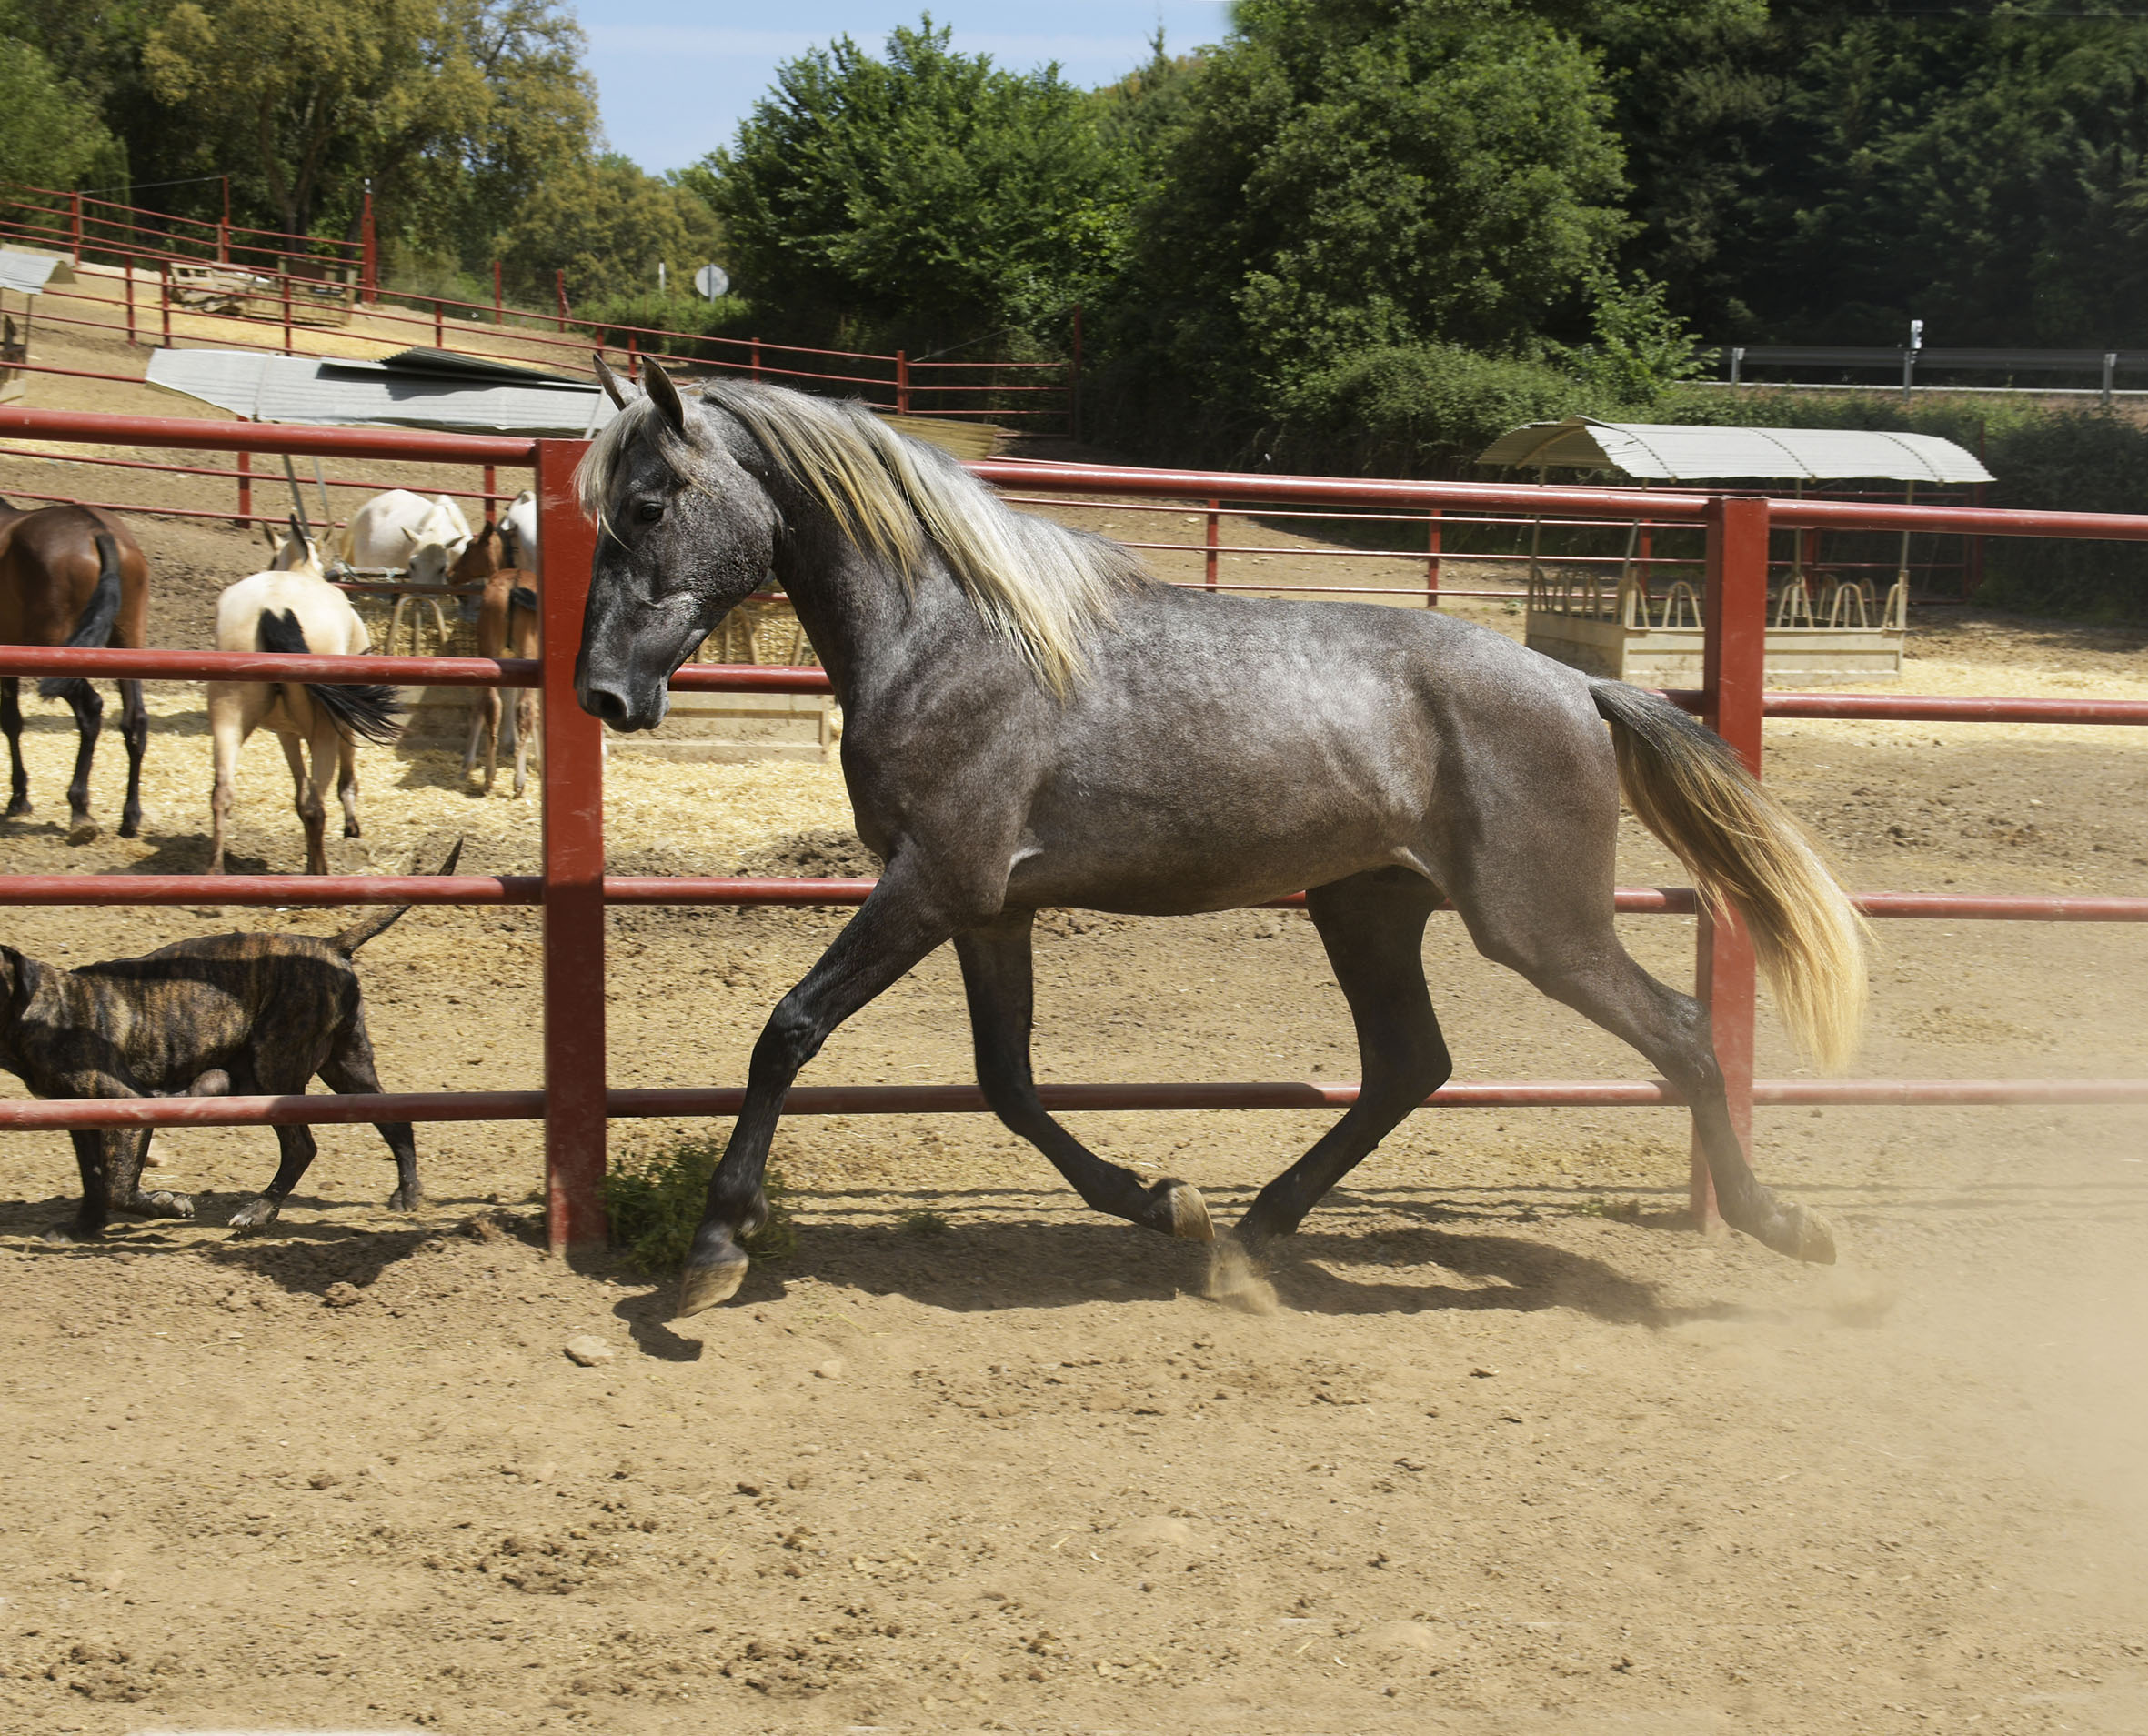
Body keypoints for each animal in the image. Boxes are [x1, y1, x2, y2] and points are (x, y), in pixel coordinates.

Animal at [0, 498, 151, 842]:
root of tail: (98, 529)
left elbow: (10, 722)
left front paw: (18, 798)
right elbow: (13, 723)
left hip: (55, 652)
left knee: (91, 709)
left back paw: (80, 809)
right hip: (127, 644)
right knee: (135, 720)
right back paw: (130, 816)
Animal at [2, 838, 457, 1237]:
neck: (44, 1007)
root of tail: (329, 944)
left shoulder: (127, 1102)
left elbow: (117, 1185)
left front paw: (167, 1204)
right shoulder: (80, 1118)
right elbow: (95, 1179)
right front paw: (83, 1227)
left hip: (277, 1070)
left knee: (301, 1147)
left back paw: (259, 1211)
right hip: (347, 1067)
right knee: (395, 1120)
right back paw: (407, 1193)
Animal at [571, 363, 1864, 1314]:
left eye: (646, 505)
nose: (602, 695)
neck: (951, 640)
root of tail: (1576, 686)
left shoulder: (932, 881)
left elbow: (788, 1030)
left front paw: (710, 1255)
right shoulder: (990, 905)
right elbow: (1008, 1082)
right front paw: (1166, 1200)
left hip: (1537, 924)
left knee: (1681, 1033)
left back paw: (1786, 1226)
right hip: (1368, 905)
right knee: (1409, 1064)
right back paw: (1245, 1238)